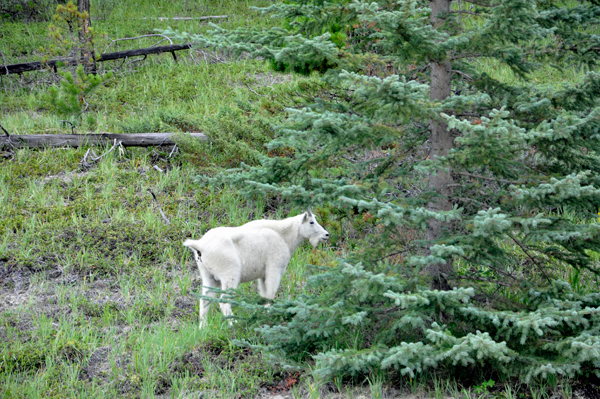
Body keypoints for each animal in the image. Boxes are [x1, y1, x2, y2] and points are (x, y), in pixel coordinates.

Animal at [185, 209, 330, 328]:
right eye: (311, 222)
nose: (326, 235)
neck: (284, 236)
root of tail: (200, 246)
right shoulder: (274, 268)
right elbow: (270, 294)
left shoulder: (262, 275)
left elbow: (264, 295)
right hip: (229, 273)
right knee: (224, 300)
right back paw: (233, 323)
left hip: (208, 276)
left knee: (205, 299)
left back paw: (203, 327)